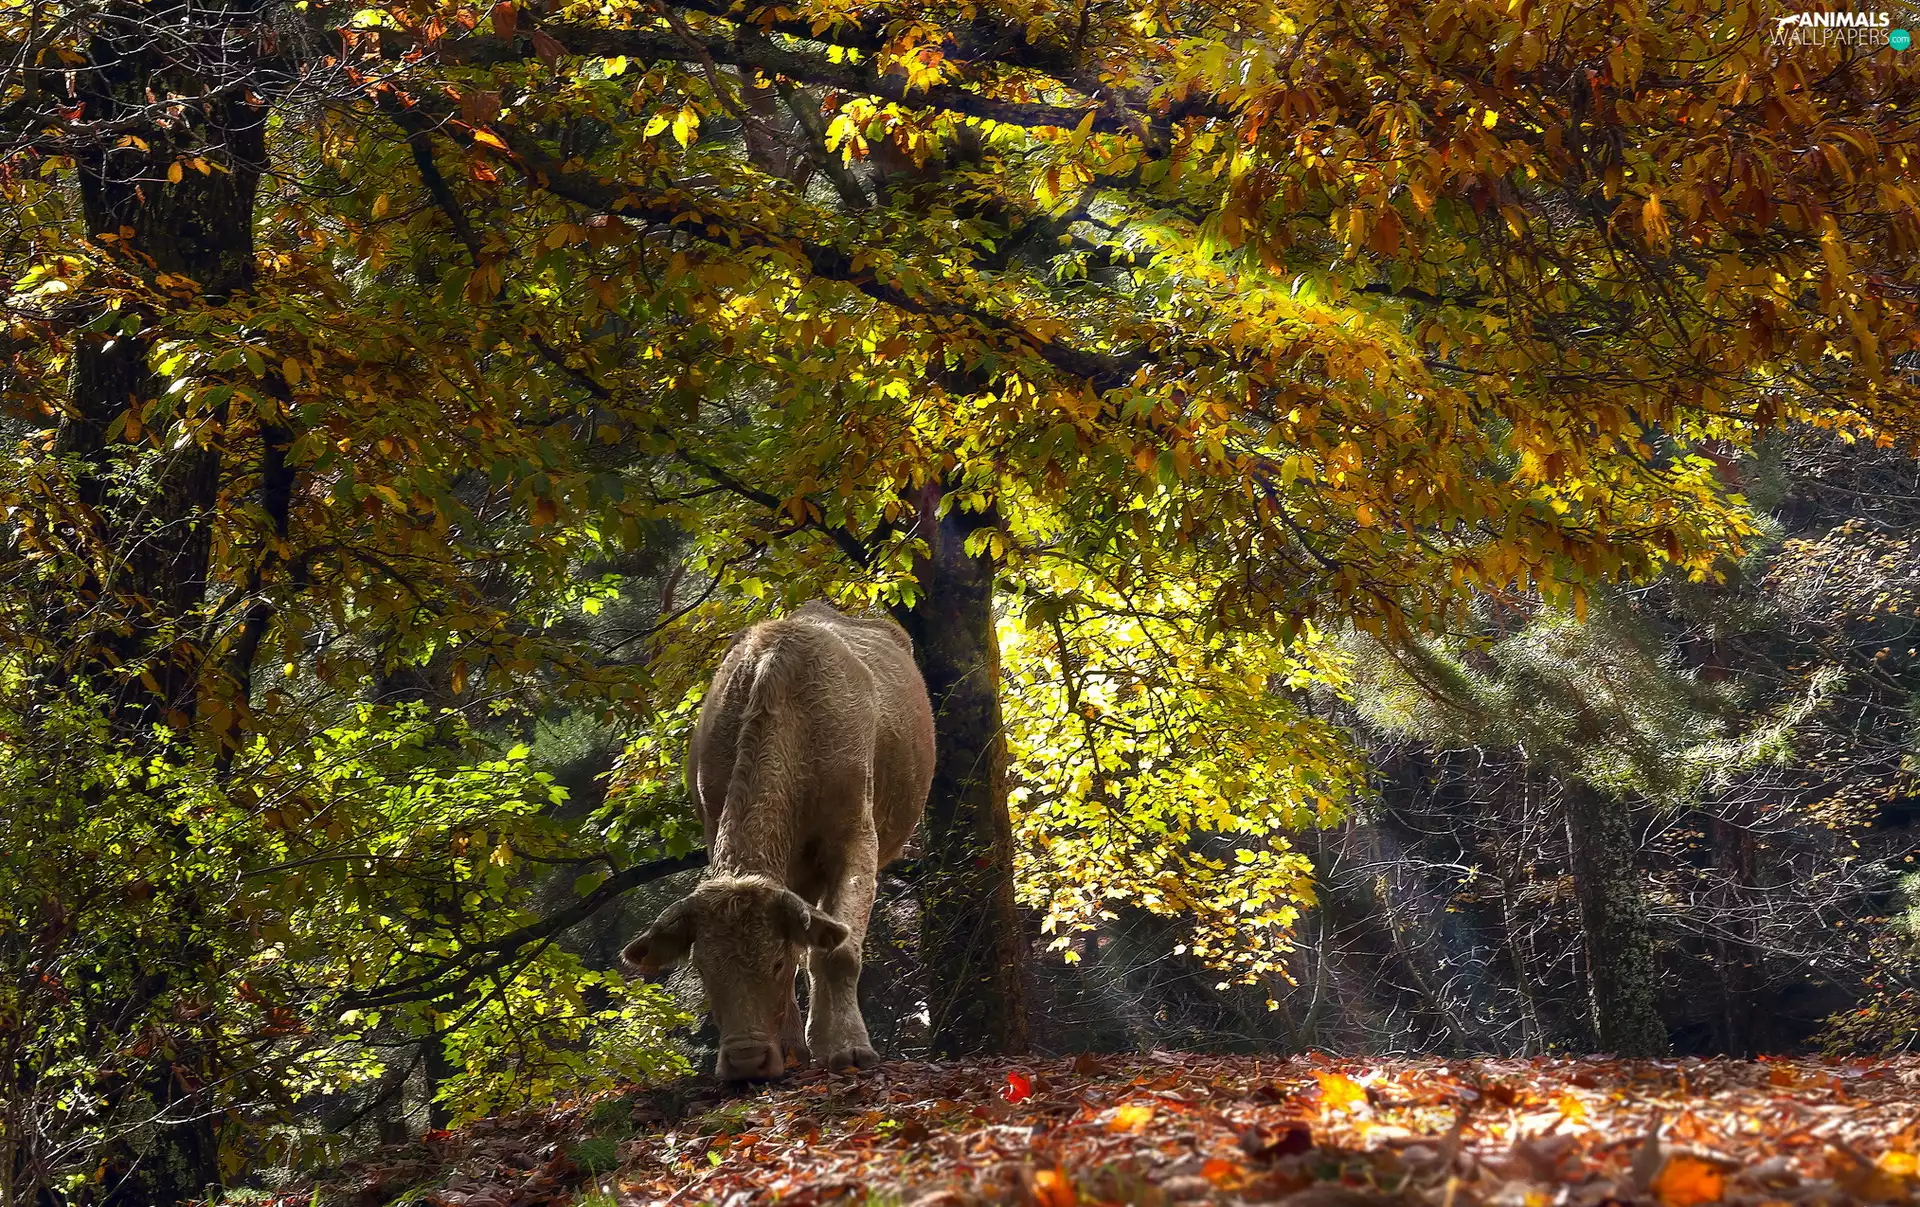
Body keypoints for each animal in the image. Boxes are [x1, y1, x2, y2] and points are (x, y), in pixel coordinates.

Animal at [621, 601, 936, 1080]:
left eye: (774, 962)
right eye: (703, 970)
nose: (745, 1060)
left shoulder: (856, 841)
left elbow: (837, 951)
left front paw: (848, 1048)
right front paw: (792, 1050)